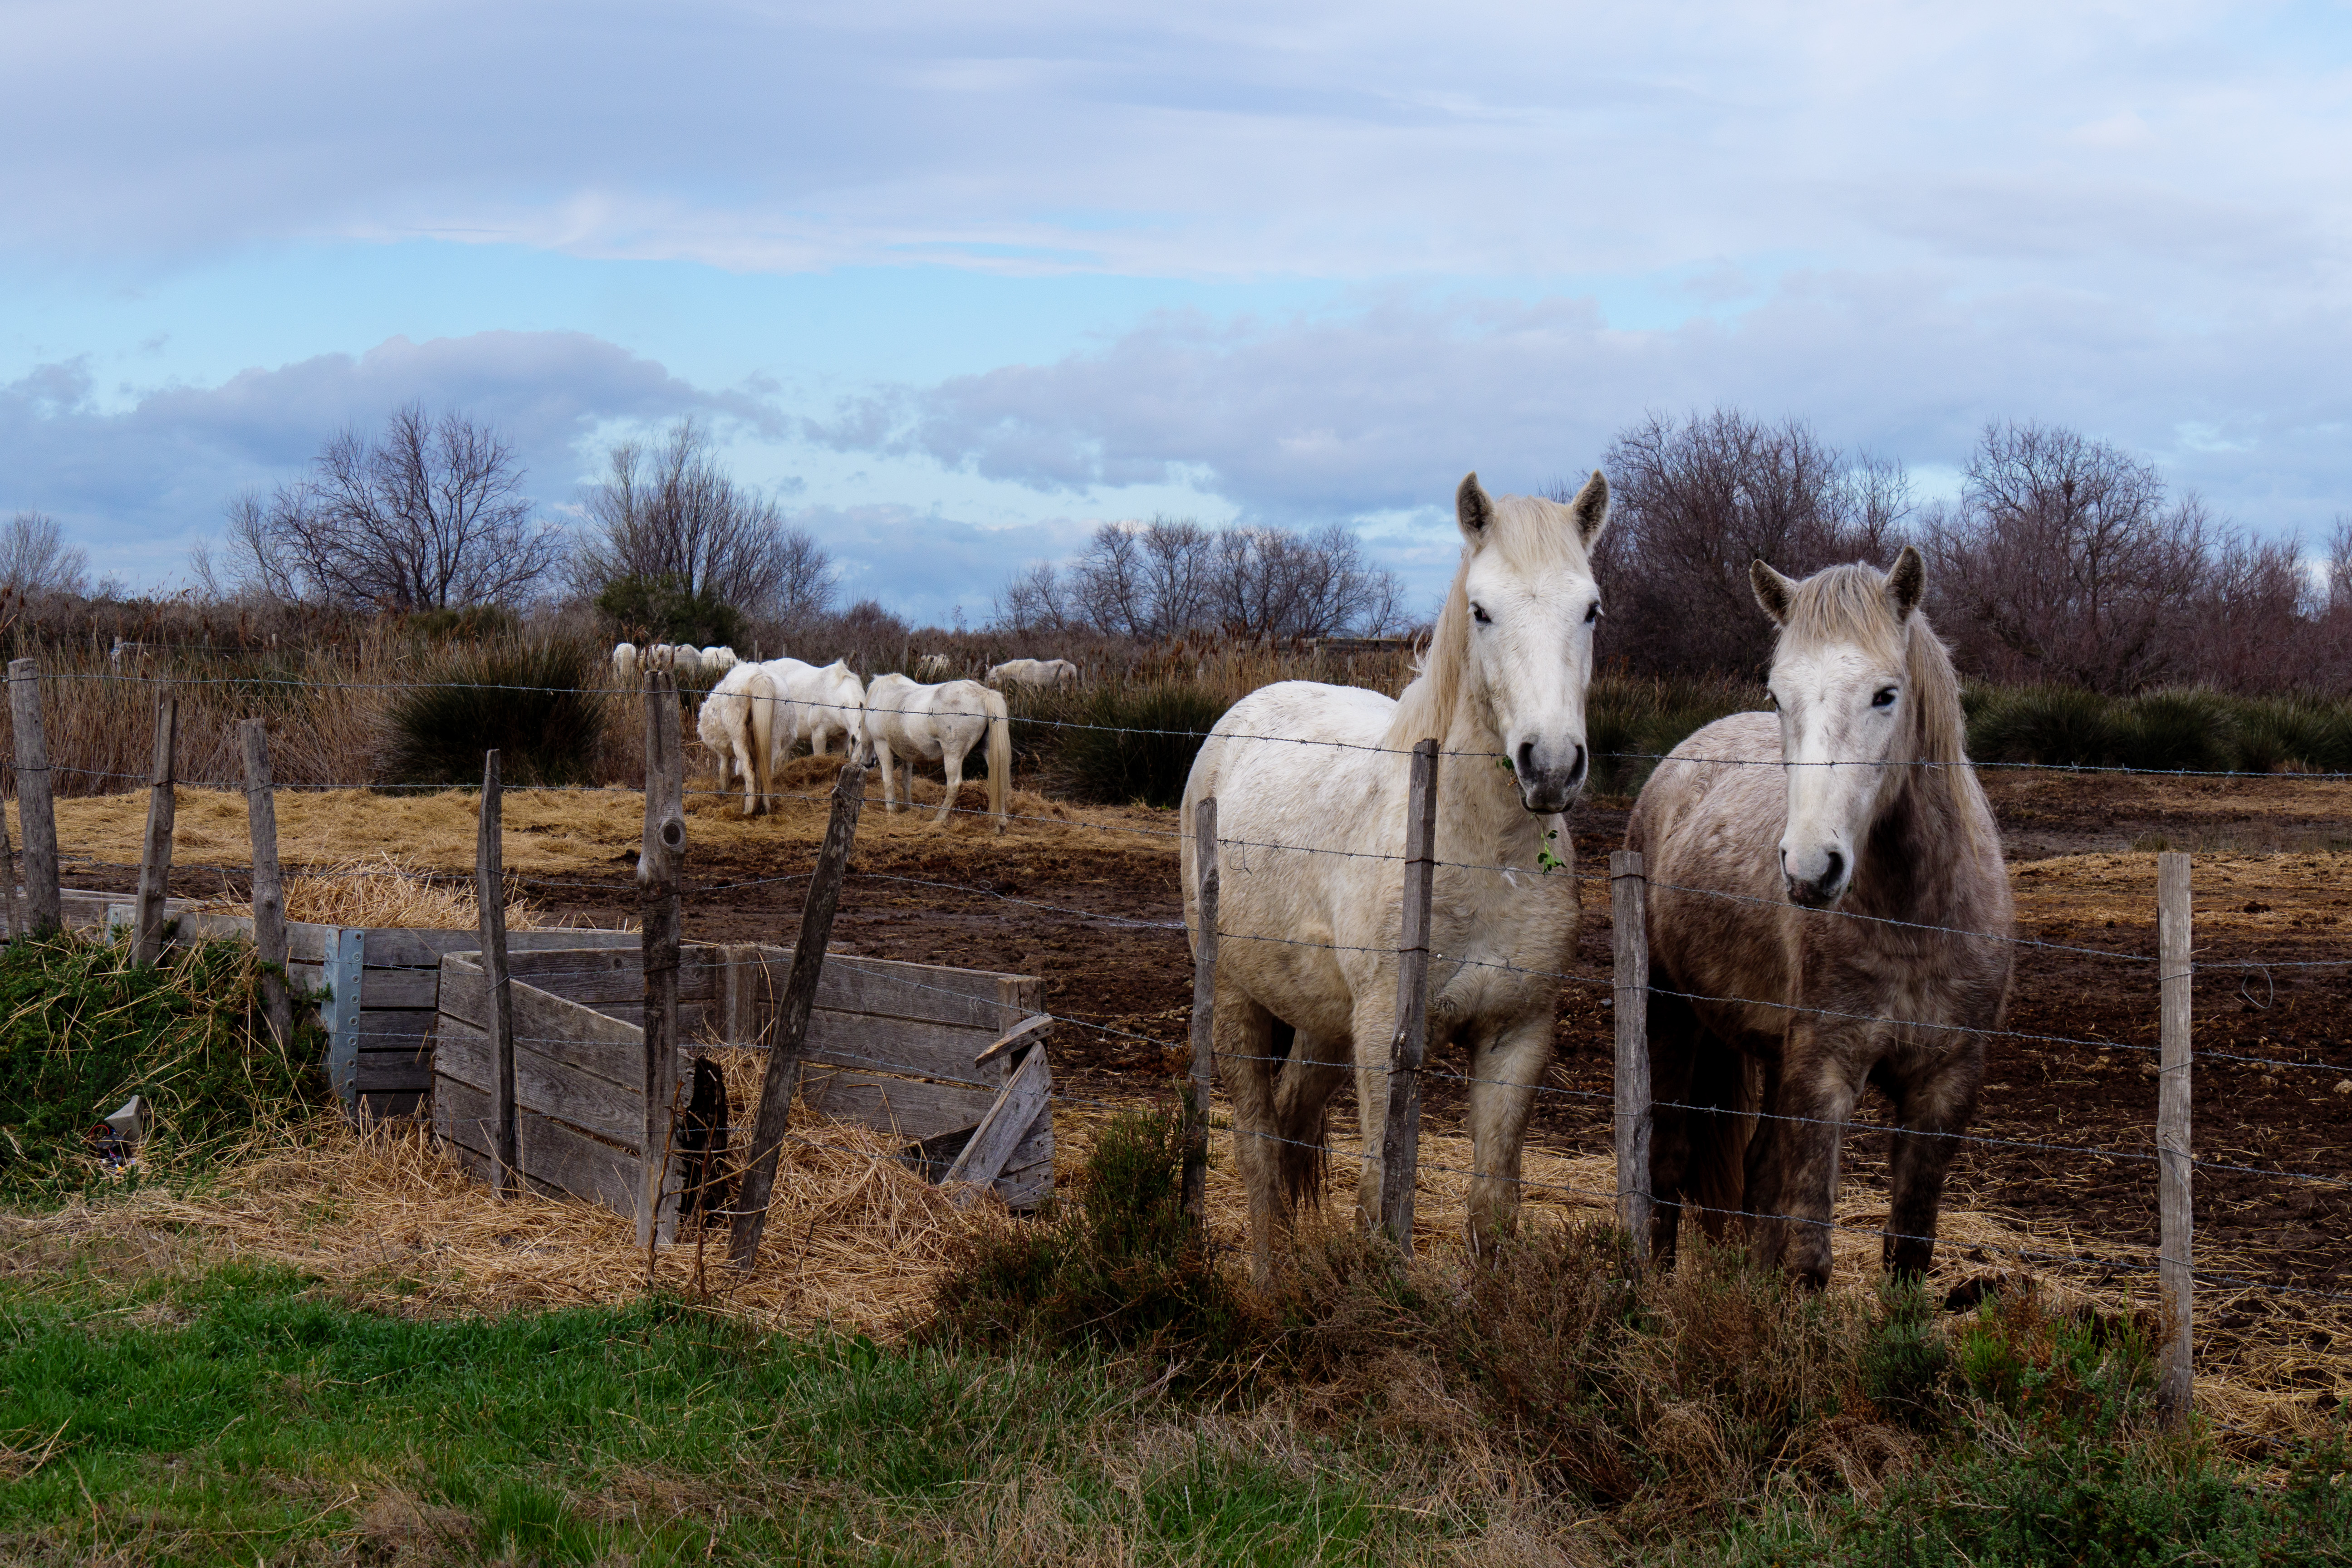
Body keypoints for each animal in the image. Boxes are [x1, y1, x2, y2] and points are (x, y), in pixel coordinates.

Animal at [863, 675, 1012, 830]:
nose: (867, 764)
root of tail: (984, 693)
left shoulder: (882, 745)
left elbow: (888, 780)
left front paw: (891, 809)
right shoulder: (908, 753)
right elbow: (906, 781)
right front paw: (907, 807)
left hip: (953, 755)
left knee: (954, 785)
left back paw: (939, 819)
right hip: (989, 753)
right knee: (1000, 783)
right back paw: (1001, 824)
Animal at [985, 658, 1079, 688]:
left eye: (994, 678)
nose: (992, 688)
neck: (1019, 669)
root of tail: (1073, 666)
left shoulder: (1029, 685)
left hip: (1064, 683)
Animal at [1181, 471, 1610, 1277]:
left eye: (1592, 610)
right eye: (1482, 610)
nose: (1550, 765)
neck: (1477, 856)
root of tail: (1239, 716)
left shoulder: (1517, 1034)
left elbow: (1491, 1205)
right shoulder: (1386, 1035)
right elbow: (1379, 1195)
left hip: (1323, 1020)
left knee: (1289, 1119)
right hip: (1234, 999)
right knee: (1256, 1141)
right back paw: (1268, 1277)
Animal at [1628, 548, 2014, 1288]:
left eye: (1886, 695)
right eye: (1779, 696)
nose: (1810, 869)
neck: (1914, 925)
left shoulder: (1946, 1087)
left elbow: (1908, 1251)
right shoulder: (1825, 1073)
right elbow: (1809, 1255)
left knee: (1755, 1176)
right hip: (1672, 1013)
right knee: (1667, 1160)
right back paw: (1652, 1291)